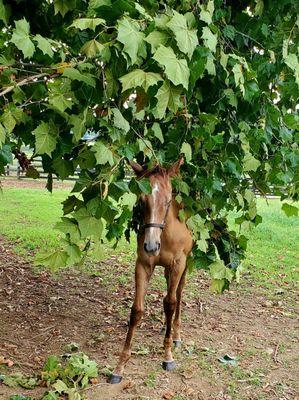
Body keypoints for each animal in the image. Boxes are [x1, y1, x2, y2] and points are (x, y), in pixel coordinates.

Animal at [111, 158, 193, 382]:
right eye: (141, 201)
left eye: (168, 201)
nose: (151, 246)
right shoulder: (143, 264)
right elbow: (136, 311)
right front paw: (119, 366)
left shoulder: (178, 264)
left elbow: (171, 303)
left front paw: (168, 356)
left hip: (185, 265)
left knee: (178, 294)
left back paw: (176, 335)